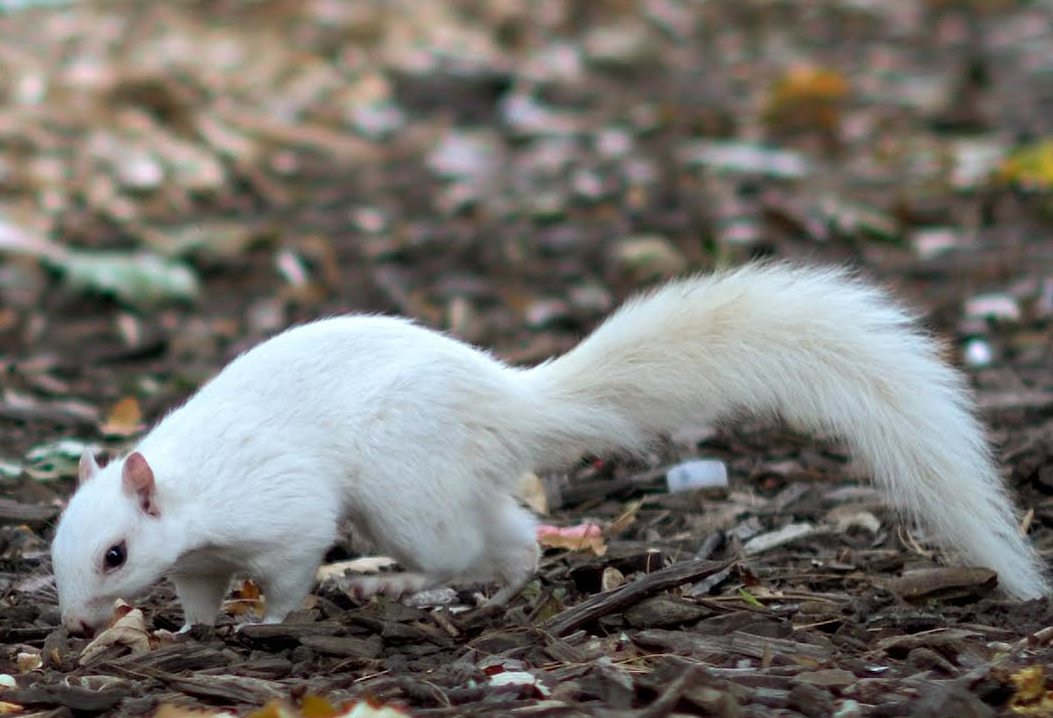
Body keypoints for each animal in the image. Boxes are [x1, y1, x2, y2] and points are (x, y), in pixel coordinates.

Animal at [51, 260, 1050, 634]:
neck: (191, 489)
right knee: (509, 536)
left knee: (475, 547)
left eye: (115, 553)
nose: (74, 624)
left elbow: (292, 565)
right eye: (58, 555)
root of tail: (505, 401)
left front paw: (266, 622)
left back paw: (421, 589)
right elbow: (198, 589)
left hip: (407, 492)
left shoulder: (278, 506)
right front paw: (191, 629)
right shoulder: (200, 554)